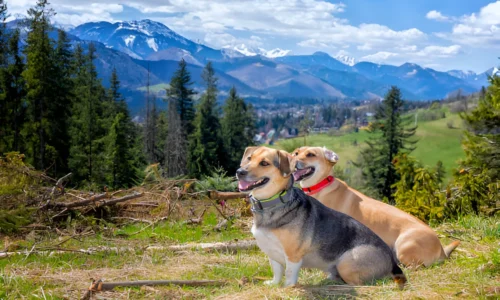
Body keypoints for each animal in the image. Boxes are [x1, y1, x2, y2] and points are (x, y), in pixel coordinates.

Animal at [235, 146, 406, 288]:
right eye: (249, 158)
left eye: (264, 163)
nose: (239, 171)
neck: (273, 204)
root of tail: (393, 263)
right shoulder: (272, 253)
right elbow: (277, 271)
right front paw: (274, 284)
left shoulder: (293, 255)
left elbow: (289, 274)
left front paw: (287, 288)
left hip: (346, 262)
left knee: (360, 283)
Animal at [292, 146, 460, 268]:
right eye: (296, 152)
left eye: (310, 154)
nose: (292, 159)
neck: (321, 185)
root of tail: (441, 250)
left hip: (404, 246)